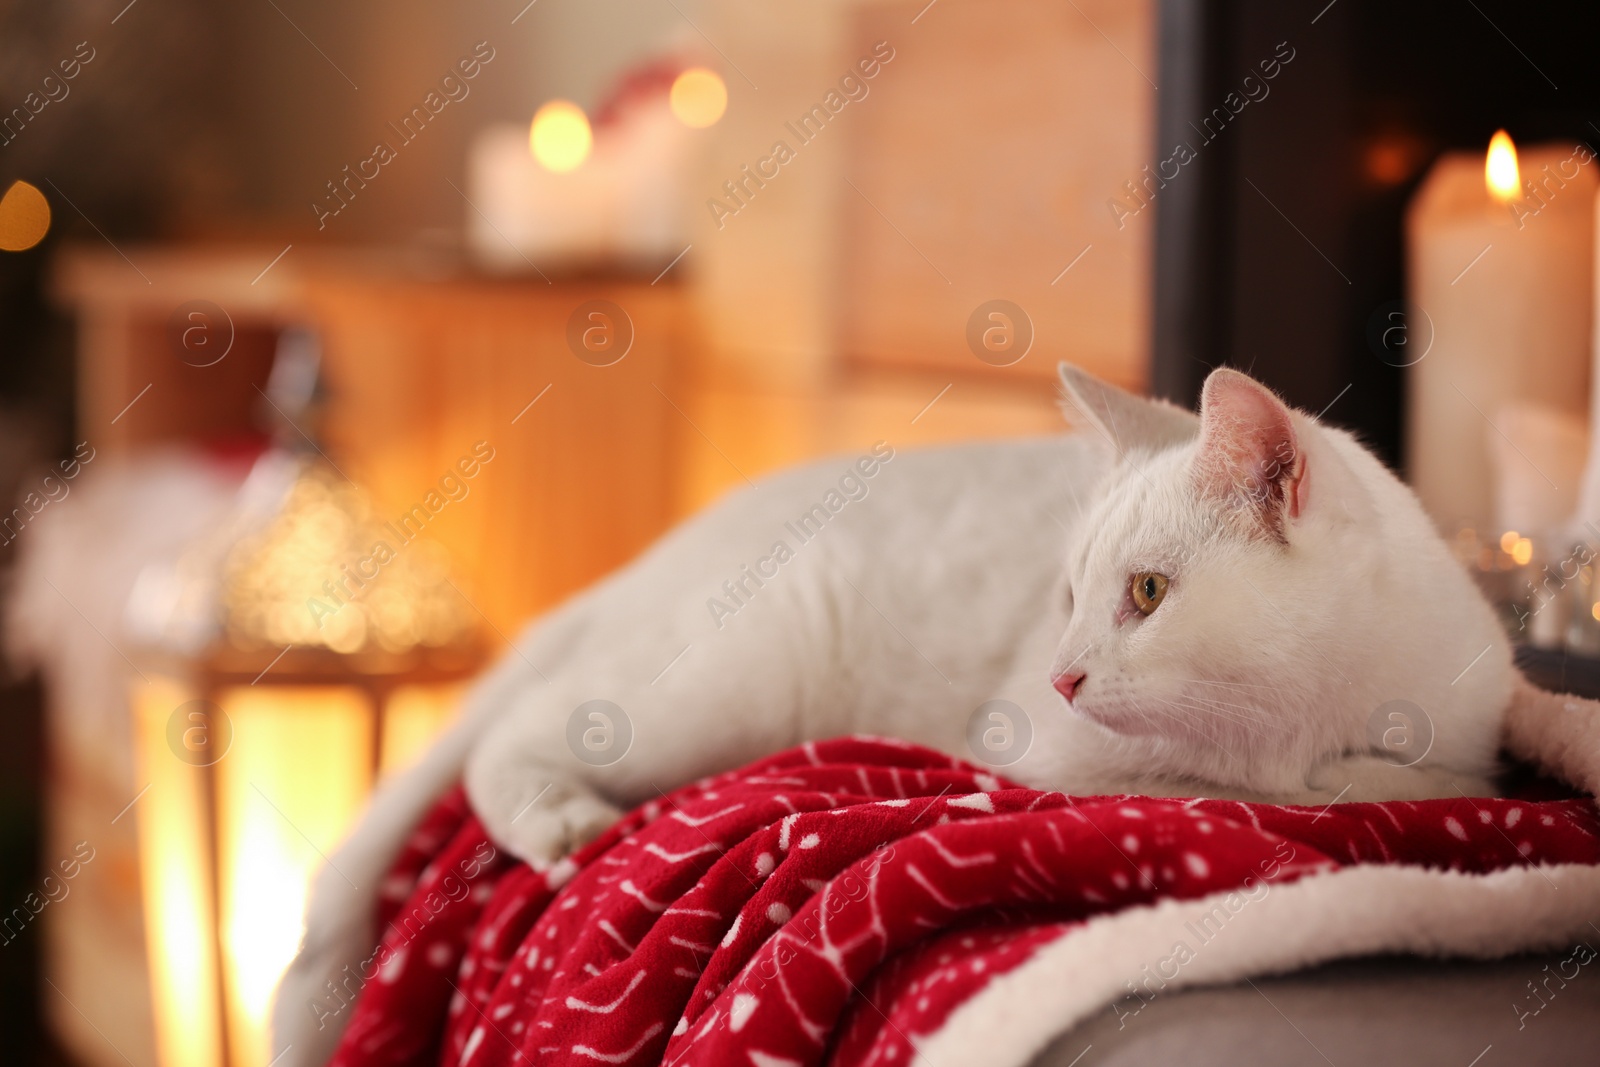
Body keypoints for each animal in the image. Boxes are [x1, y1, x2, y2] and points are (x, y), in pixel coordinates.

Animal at [272, 363, 1574, 1062]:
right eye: (1069, 595)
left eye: (1145, 593)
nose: (1061, 672)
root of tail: (655, 558)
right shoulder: (1058, 759)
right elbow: (1316, 782)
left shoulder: (1469, 709)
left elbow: (1449, 758)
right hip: (736, 666)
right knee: (515, 734)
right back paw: (557, 819)